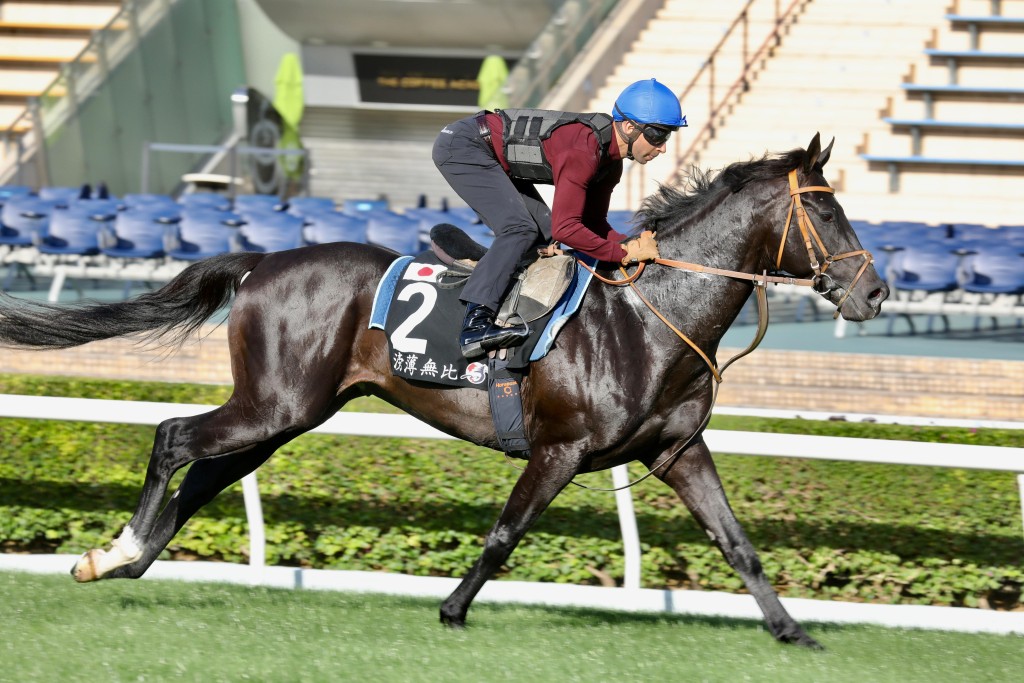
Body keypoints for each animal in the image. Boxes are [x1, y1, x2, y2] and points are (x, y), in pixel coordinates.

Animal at [0, 132, 884, 647]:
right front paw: (453, 609)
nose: (873, 294)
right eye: (828, 212)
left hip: (285, 413)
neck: (651, 316)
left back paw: (129, 558)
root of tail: (262, 260)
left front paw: (794, 632)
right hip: (276, 405)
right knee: (173, 437)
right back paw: (116, 550)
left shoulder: (677, 450)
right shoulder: (560, 448)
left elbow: (738, 543)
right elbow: (504, 534)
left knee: (208, 471)